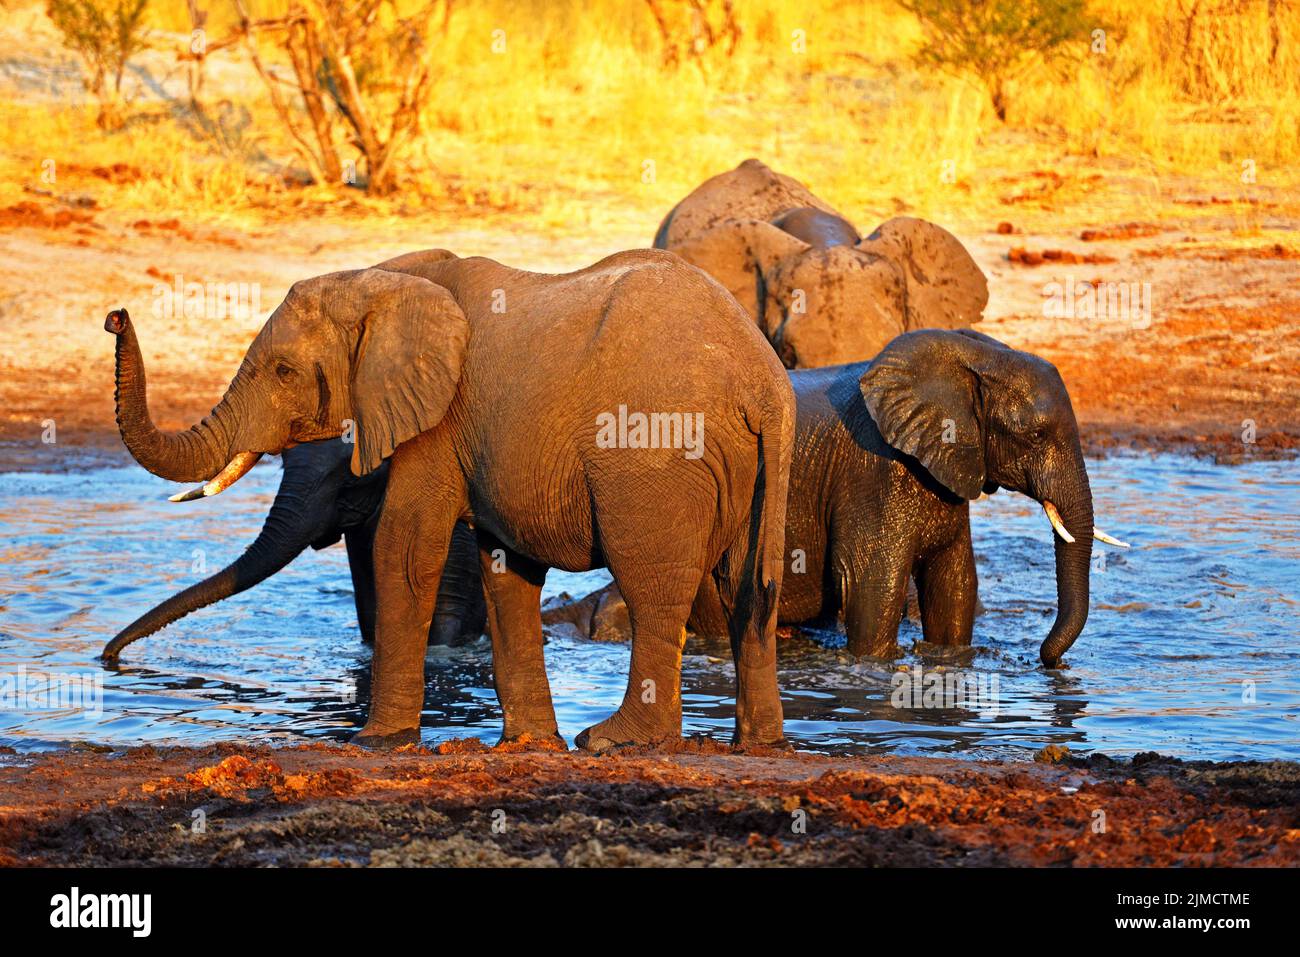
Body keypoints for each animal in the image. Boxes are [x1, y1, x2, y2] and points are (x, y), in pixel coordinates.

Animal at [548, 332, 1128, 670]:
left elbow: (955, 583)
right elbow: (874, 587)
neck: (973, 357)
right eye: (1034, 435)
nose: (1045, 661)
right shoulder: (874, 472)